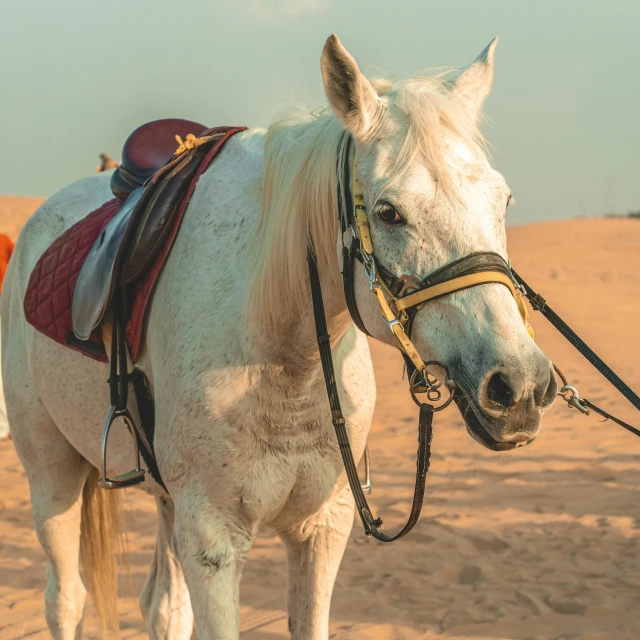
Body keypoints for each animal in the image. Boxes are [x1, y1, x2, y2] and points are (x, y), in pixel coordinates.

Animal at [2, 36, 556, 640]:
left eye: (503, 201)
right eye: (389, 213)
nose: (519, 386)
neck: (286, 363)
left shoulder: (322, 528)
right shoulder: (213, 540)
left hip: (167, 502)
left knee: (163, 606)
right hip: (52, 472)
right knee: (65, 598)